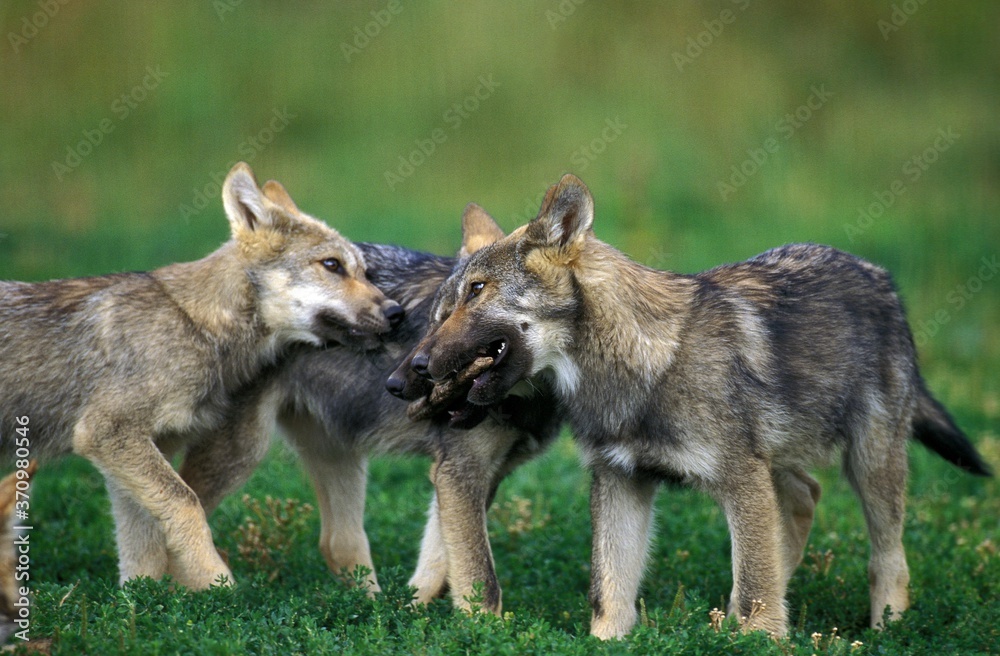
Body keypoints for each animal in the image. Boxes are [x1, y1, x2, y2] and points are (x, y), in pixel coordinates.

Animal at [0, 163, 400, 588]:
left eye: (365, 272)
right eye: (332, 265)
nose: (397, 313)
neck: (197, 326)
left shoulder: (139, 451)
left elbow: (143, 559)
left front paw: (143, 602)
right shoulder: (107, 433)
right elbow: (186, 504)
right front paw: (218, 588)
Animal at [270, 202, 560, 612]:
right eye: (429, 326)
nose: (393, 385)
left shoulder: (477, 475)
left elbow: (438, 566)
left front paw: (408, 613)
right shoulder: (459, 471)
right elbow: (479, 579)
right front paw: (481, 625)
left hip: (336, 455)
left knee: (336, 543)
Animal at [400, 177, 992, 640]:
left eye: (478, 291)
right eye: (441, 311)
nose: (412, 371)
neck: (638, 370)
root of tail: (878, 273)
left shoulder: (739, 477)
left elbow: (753, 588)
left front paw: (759, 641)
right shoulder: (621, 479)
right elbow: (610, 591)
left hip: (870, 464)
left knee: (886, 555)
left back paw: (887, 627)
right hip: (781, 463)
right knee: (804, 499)